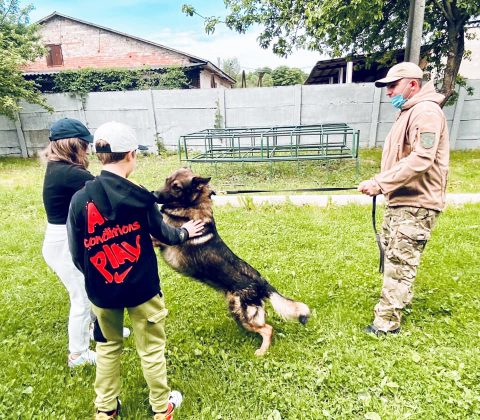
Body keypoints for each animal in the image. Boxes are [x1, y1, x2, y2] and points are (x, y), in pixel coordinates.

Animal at [154, 167, 312, 354]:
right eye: (166, 180)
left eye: (176, 187)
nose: (153, 194)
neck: (193, 204)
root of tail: (261, 282)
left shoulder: (159, 237)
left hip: (241, 314)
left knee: (268, 329)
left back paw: (261, 352)